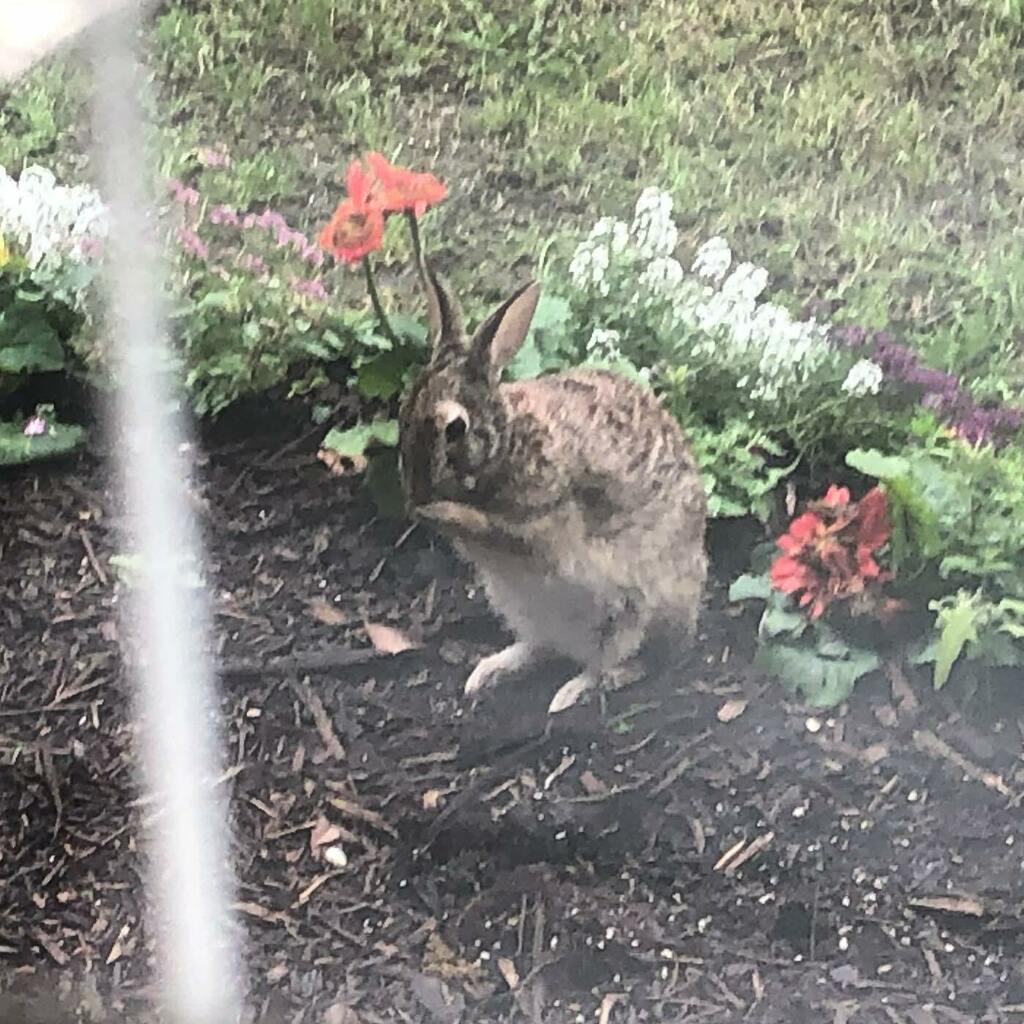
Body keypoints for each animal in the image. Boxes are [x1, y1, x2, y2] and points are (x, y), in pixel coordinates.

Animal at [399, 266, 707, 713]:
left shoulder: (541, 525)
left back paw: (577, 690)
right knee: (541, 646)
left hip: (635, 609)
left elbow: (498, 529)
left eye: (455, 428)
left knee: (628, 659)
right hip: (520, 604)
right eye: (404, 409)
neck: (509, 444)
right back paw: (489, 672)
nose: (414, 494)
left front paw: (440, 512)